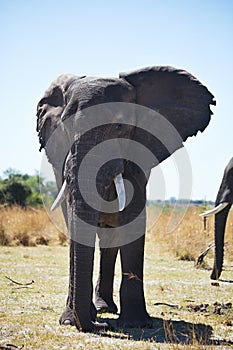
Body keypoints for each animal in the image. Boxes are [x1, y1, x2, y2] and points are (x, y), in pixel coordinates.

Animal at [36, 65, 215, 330]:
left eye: (120, 127)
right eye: (66, 128)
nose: (100, 326)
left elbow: (132, 220)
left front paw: (137, 323)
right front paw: (71, 320)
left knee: (110, 240)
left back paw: (105, 309)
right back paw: (101, 310)